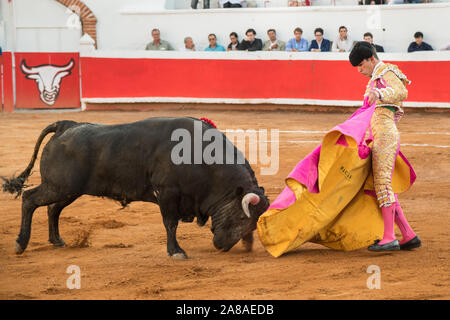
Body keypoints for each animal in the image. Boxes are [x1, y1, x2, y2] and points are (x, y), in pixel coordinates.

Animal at [1, 117, 268, 260]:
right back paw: (21, 243)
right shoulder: (167, 194)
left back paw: (57, 240)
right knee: (29, 199)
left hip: (69, 189)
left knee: (52, 209)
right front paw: (176, 251)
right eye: (240, 218)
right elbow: (170, 224)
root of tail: (66, 125)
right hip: (58, 186)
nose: (222, 246)